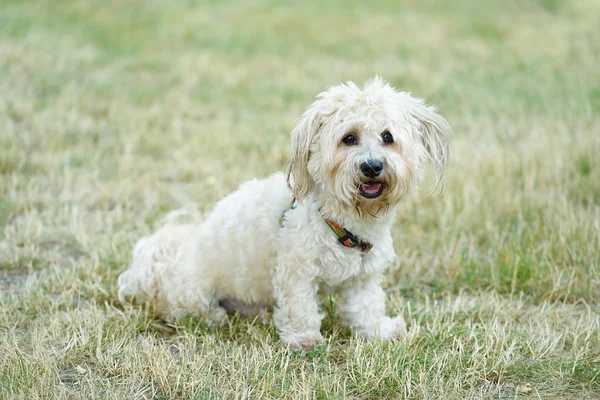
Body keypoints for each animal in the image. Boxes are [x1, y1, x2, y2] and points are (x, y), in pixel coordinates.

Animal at [116, 76, 450, 348]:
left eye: (388, 137)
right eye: (349, 138)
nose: (372, 166)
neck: (343, 222)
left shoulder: (363, 277)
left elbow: (366, 307)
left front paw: (379, 331)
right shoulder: (295, 270)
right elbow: (300, 307)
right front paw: (305, 340)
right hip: (193, 290)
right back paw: (215, 316)